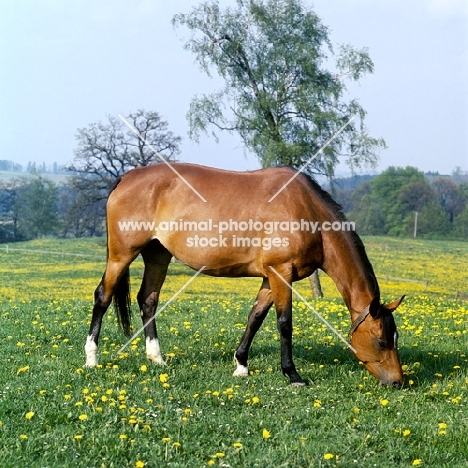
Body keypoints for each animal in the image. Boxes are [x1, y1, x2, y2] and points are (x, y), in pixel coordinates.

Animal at [85, 164, 406, 388]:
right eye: (380, 340)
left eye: (395, 337)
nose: (397, 382)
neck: (307, 211)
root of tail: (127, 178)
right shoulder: (281, 272)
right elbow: (284, 323)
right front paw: (292, 374)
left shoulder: (270, 277)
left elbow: (255, 317)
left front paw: (241, 365)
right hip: (121, 255)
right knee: (103, 296)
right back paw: (91, 357)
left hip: (157, 254)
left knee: (148, 300)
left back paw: (156, 358)